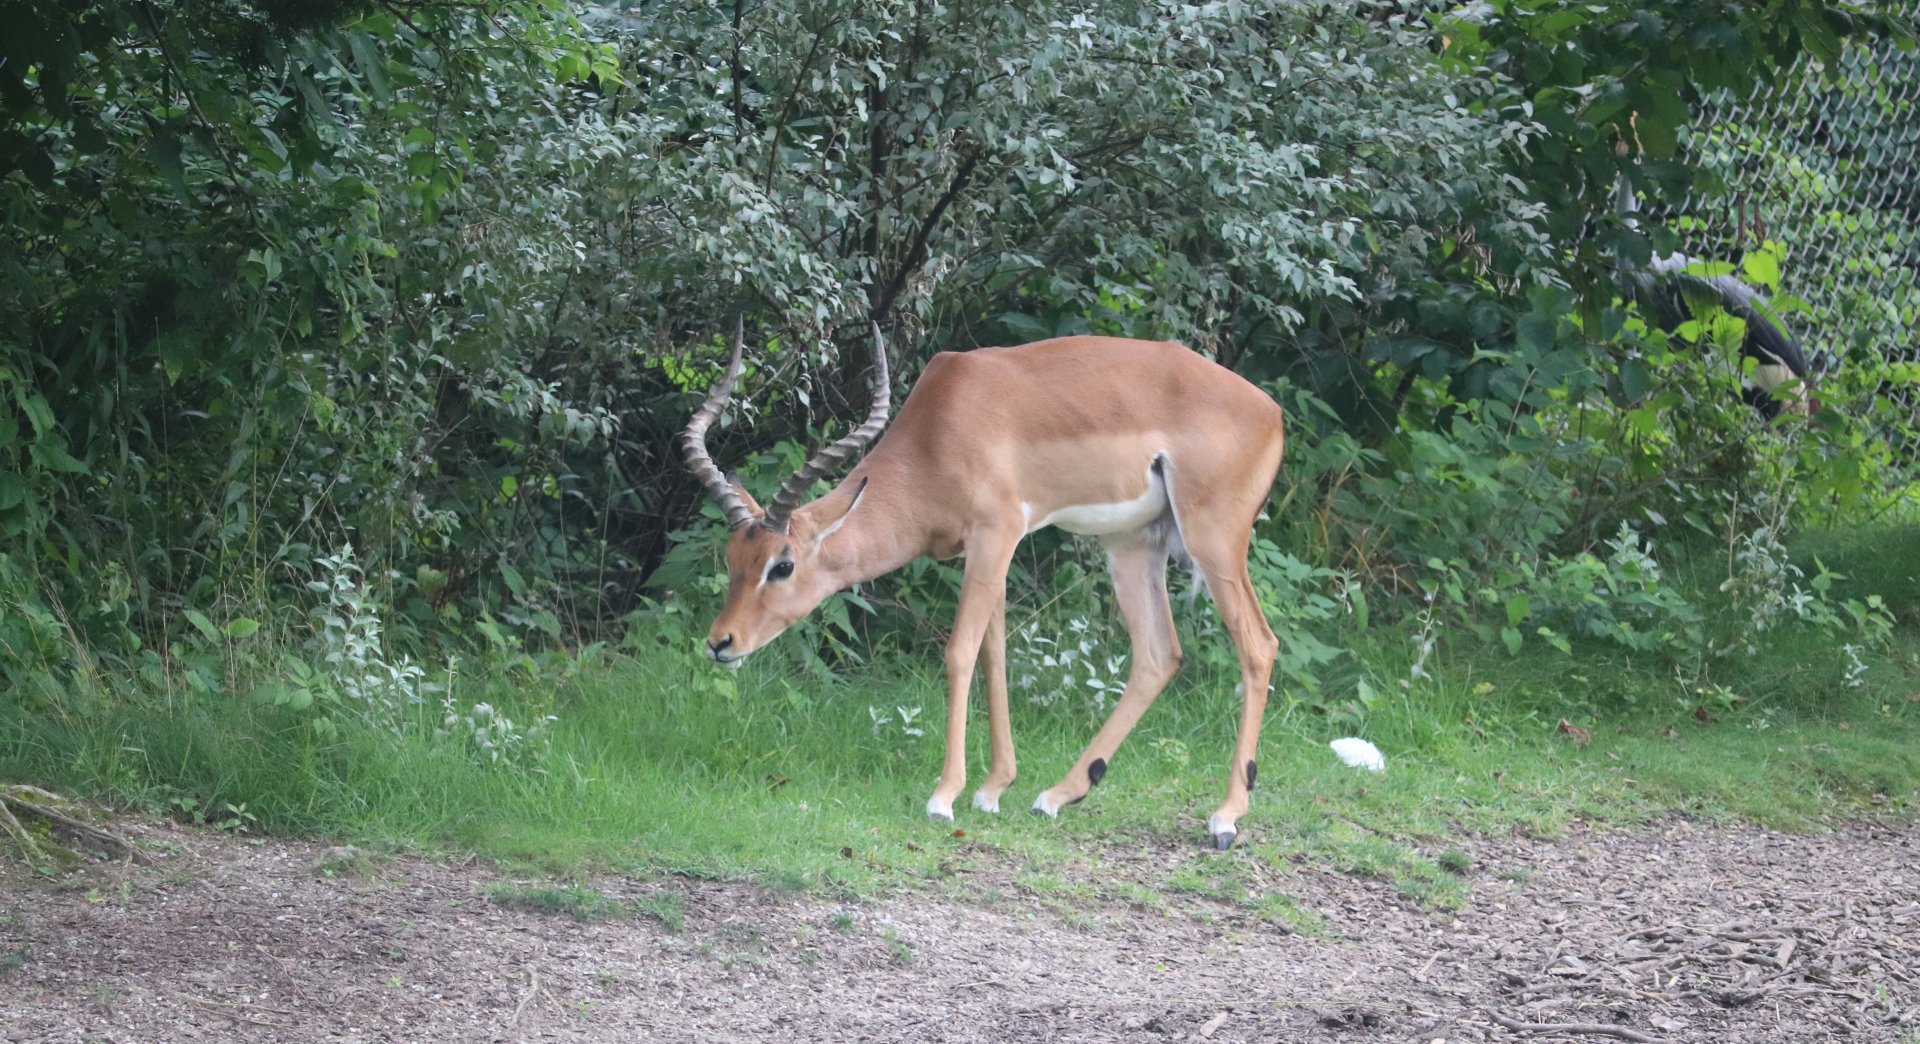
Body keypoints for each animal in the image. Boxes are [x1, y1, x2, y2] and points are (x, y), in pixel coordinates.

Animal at [681, 322, 1286, 849]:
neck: (939, 434)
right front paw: (993, 789)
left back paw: (1225, 819)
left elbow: (959, 652)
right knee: (1160, 654)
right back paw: (1058, 795)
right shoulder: (986, 550)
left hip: (1213, 542)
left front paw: (943, 797)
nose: (720, 642)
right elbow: (994, 655)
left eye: (781, 565)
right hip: (1133, 543)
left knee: (1258, 645)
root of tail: (1271, 412)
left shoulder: (997, 535)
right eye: (733, 558)